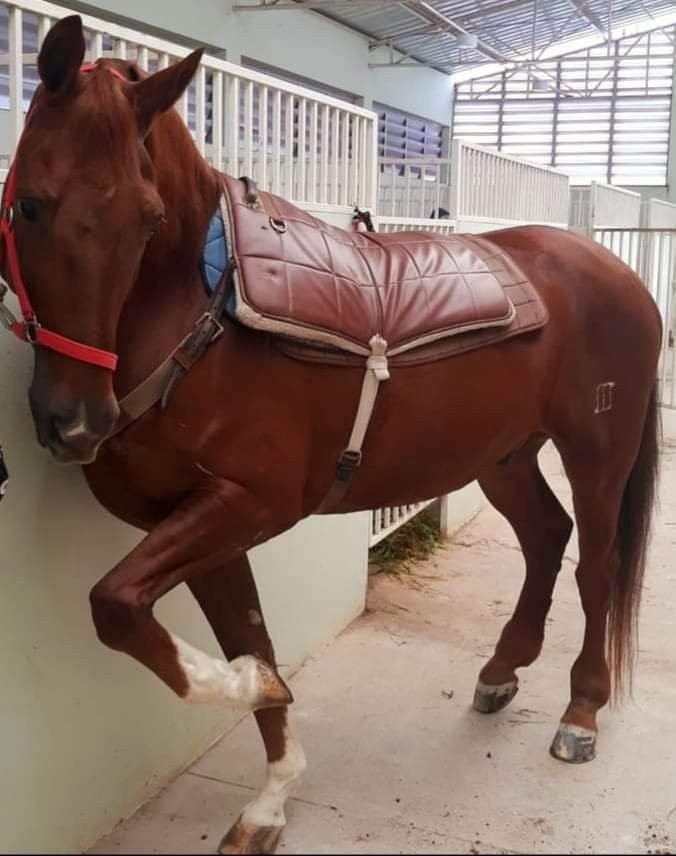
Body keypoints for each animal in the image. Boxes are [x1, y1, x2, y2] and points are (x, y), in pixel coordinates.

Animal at [1, 16, 662, 855]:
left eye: (148, 220)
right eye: (29, 206)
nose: (78, 420)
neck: (205, 314)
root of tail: (614, 270)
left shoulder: (251, 504)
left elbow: (116, 605)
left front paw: (257, 693)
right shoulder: (201, 520)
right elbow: (239, 635)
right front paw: (272, 792)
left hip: (598, 451)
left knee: (596, 565)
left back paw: (581, 712)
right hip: (503, 454)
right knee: (548, 536)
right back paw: (502, 669)